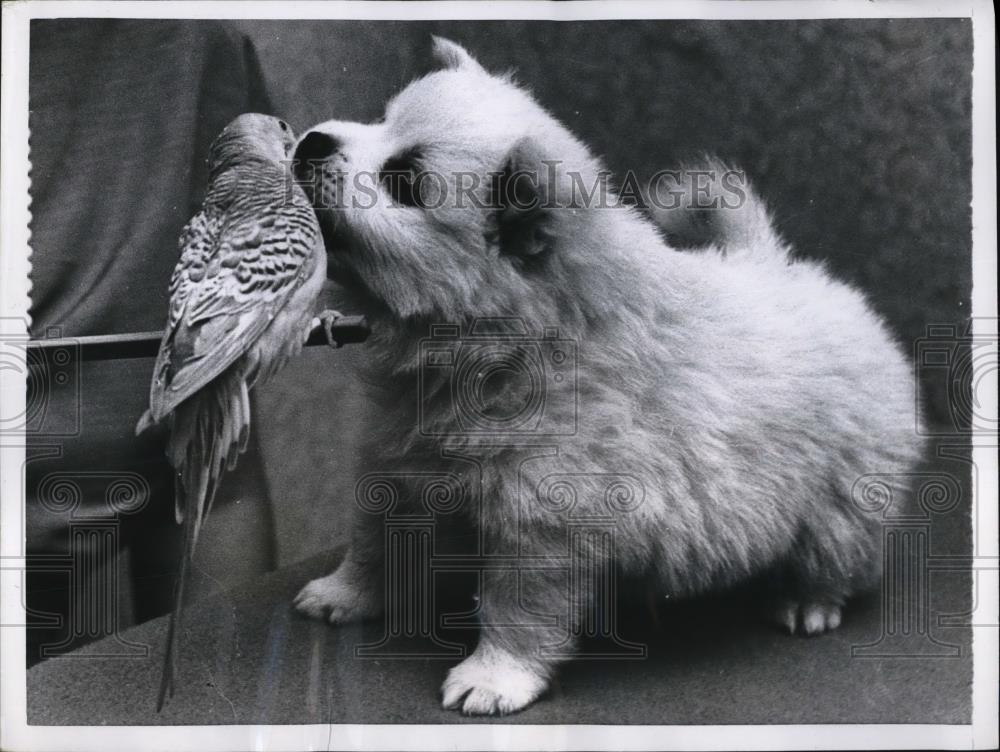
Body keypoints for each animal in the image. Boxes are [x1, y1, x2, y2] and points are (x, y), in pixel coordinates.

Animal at [290, 36, 920, 716]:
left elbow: (518, 608)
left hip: (845, 489)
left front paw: (493, 678)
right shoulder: (395, 464)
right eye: (380, 120)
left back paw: (808, 602)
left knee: (835, 549)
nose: (312, 142)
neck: (501, 344)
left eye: (402, 181)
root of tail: (777, 268)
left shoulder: (543, 521)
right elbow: (373, 542)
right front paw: (342, 594)